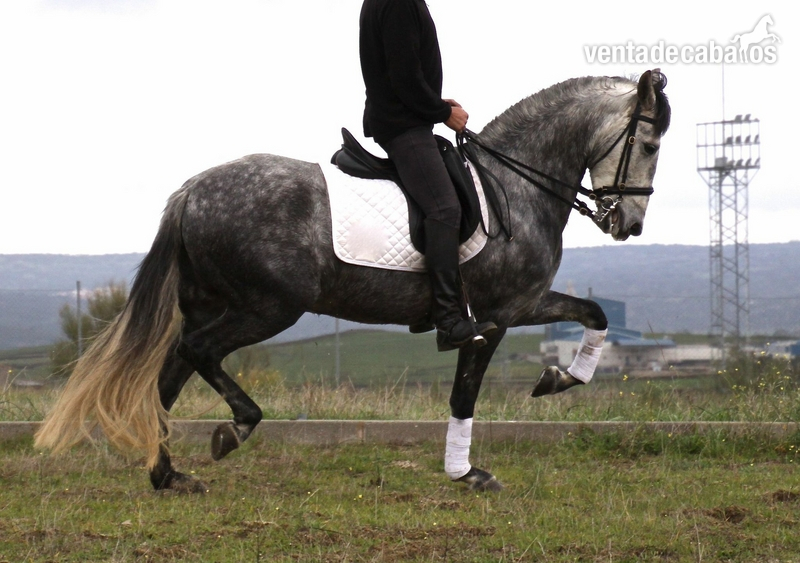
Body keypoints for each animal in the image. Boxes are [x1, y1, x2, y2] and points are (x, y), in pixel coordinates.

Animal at [35, 69, 671, 493]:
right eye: (647, 144)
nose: (630, 225)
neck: (514, 186)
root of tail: (192, 190)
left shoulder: (524, 304)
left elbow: (595, 314)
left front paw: (557, 379)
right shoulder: (492, 317)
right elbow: (464, 393)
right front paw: (466, 472)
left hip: (215, 302)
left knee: (171, 369)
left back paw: (167, 474)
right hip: (269, 307)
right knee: (195, 352)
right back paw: (234, 430)